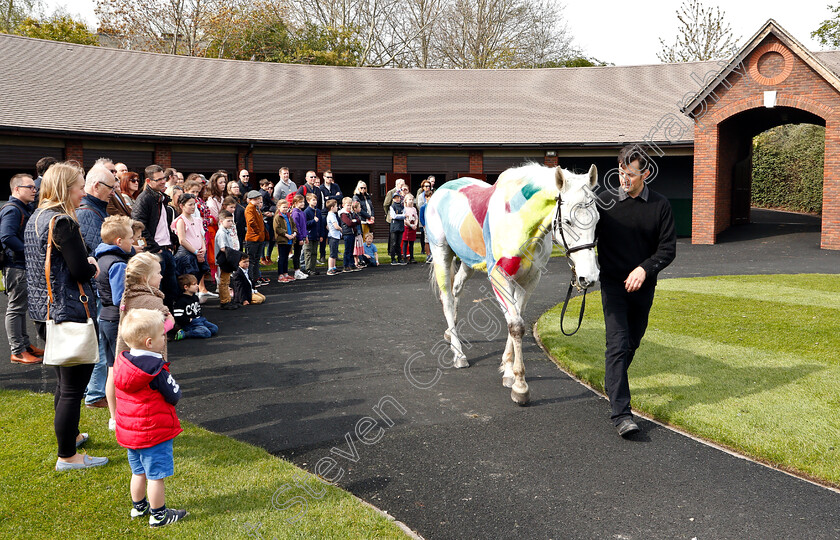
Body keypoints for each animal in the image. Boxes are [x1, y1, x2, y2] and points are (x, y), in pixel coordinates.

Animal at [426, 165, 596, 404]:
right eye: (569, 221)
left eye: (597, 220)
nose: (589, 276)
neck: (519, 220)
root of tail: (441, 190)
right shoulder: (499, 277)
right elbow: (515, 325)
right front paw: (520, 386)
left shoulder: (529, 280)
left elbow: (516, 320)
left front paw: (507, 371)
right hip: (441, 252)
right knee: (447, 299)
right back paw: (458, 354)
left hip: (468, 261)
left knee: (457, 288)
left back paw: (452, 334)